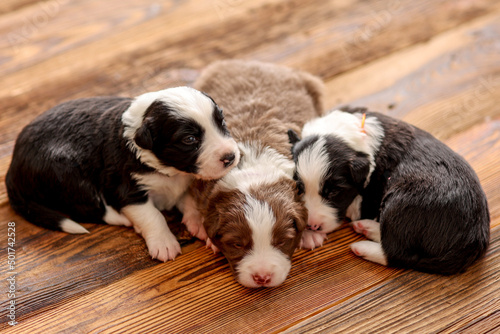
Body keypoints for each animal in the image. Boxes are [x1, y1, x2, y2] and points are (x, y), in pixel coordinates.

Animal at [5, 87, 240, 262]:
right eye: (189, 139)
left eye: (221, 122)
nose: (230, 157)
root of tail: (13, 166)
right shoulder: (126, 189)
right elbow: (152, 215)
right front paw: (164, 243)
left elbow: (190, 200)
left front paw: (200, 225)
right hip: (67, 175)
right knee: (91, 208)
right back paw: (123, 219)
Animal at [184, 60, 324, 288]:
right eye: (237, 244)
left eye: (282, 241)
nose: (262, 277)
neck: (254, 172)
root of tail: (249, 62)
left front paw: (310, 234)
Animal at [290, 107, 488, 274]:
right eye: (299, 188)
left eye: (333, 192)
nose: (312, 226)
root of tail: (474, 241)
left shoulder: (365, 200)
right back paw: (367, 227)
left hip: (400, 202)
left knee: (397, 252)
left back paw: (363, 246)